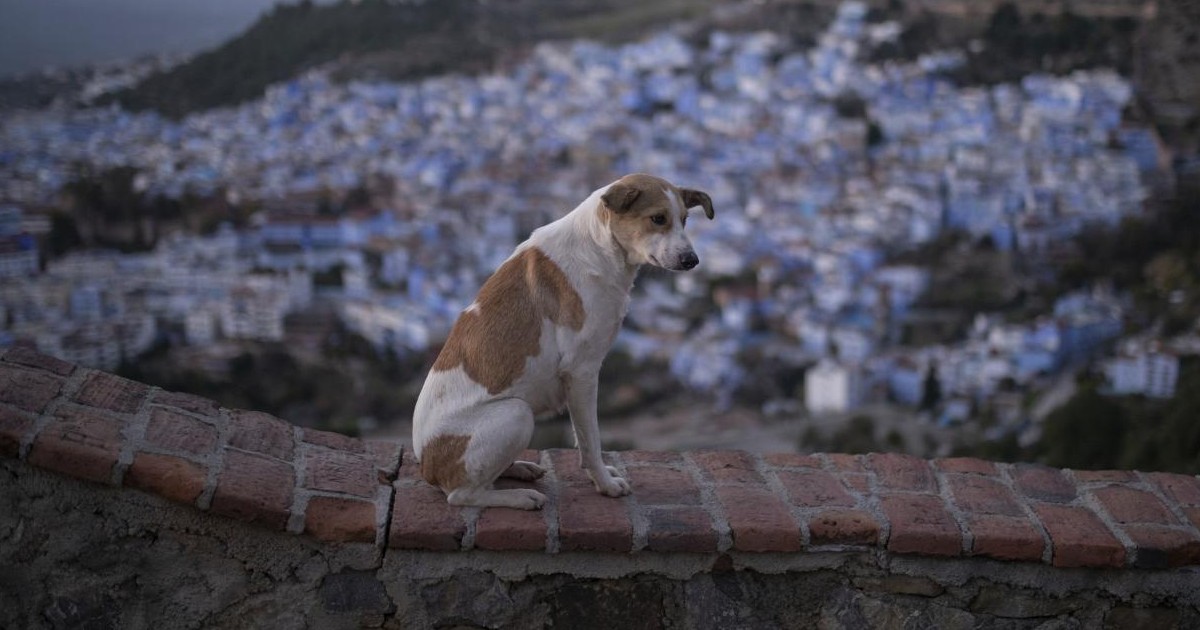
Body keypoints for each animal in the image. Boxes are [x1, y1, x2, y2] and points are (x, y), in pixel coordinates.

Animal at [412, 171, 710, 506]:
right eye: (657, 218)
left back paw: (518, 468)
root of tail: (426, 466)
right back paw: (520, 497)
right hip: (516, 414)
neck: (599, 247)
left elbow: (582, 438)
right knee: (462, 495)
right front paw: (605, 484)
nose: (692, 260)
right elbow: (590, 440)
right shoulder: (581, 372)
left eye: (684, 219)